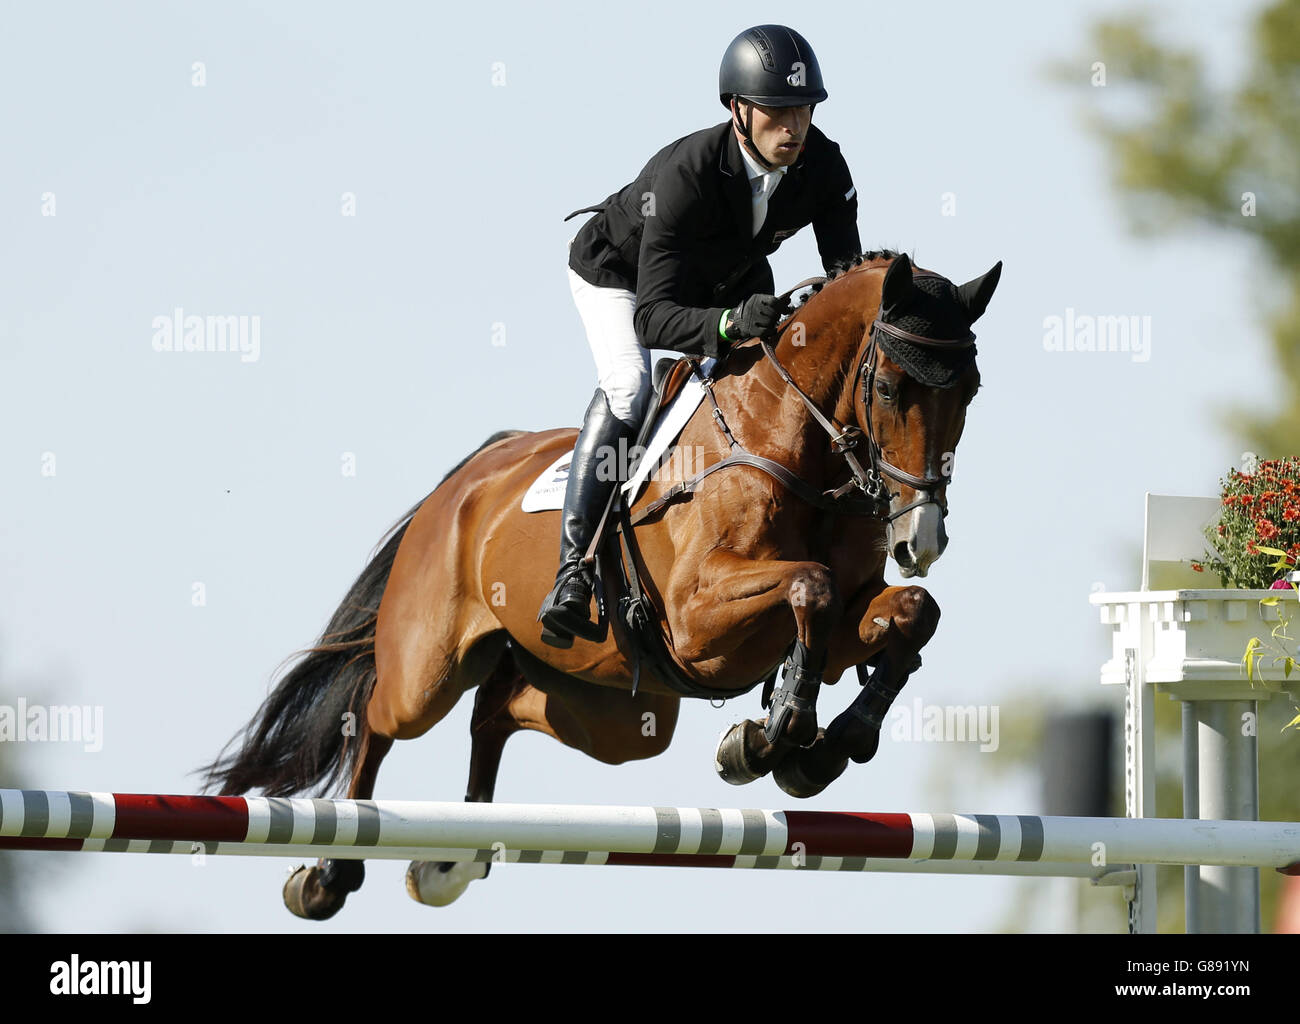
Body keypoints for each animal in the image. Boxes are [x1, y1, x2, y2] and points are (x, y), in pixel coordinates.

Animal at [199, 250, 1002, 918]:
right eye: (891, 388)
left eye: (970, 391)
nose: (921, 540)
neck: (792, 442)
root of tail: (466, 480)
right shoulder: (700, 620)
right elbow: (813, 587)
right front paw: (770, 738)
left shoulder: (831, 623)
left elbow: (911, 613)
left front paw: (824, 747)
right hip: (428, 672)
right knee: (376, 716)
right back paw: (330, 874)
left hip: (612, 707)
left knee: (499, 708)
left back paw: (450, 859)